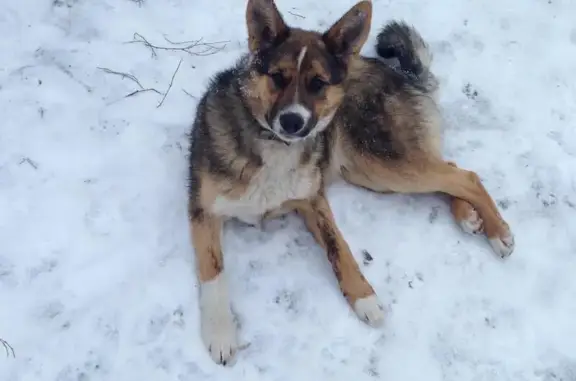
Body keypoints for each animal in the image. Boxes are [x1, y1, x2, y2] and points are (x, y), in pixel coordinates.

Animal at [187, 0, 516, 364]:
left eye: (318, 83)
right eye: (277, 77)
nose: (292, 121)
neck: (273, 144)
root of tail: (404, 76)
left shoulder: (313, 200)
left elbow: (339, 247)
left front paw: (364, 298)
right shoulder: (202, 211)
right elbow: (213, 271)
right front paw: (220, 332)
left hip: (381, 162)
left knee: (464, 176)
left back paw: (498, 231)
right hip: (374, 171)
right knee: (452, 172)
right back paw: (469, 216)